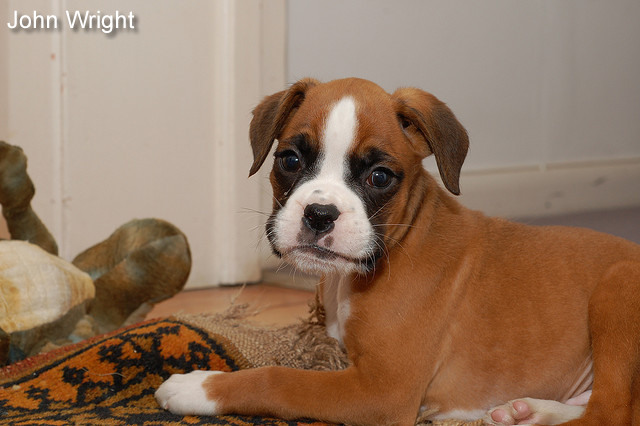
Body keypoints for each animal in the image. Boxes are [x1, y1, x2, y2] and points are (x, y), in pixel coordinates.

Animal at [155, 78, 640, 424]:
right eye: (290, 160)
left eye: (380, 176)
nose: (319, 214)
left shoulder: (381, 391)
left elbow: (281, 379)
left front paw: (199, 388)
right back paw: (527, 411)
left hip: (618, 287)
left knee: (608, 413)